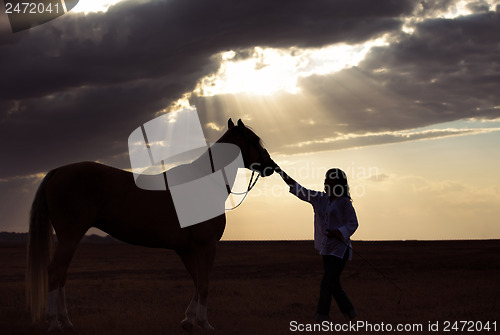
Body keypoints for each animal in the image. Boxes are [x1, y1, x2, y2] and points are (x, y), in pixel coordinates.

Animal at [25, 118, 276, 334]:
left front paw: (188, 320)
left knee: (62, 274)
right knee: (55, 272)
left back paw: (66, 322)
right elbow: (204, 283)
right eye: (255, 140)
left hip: (69, 237)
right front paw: (204, 323)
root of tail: (58, 171)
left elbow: (196, 281)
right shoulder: (206, 246)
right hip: (70, 236)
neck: (204, 182)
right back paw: (54, 323)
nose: (271, 166)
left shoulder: (186, 249)